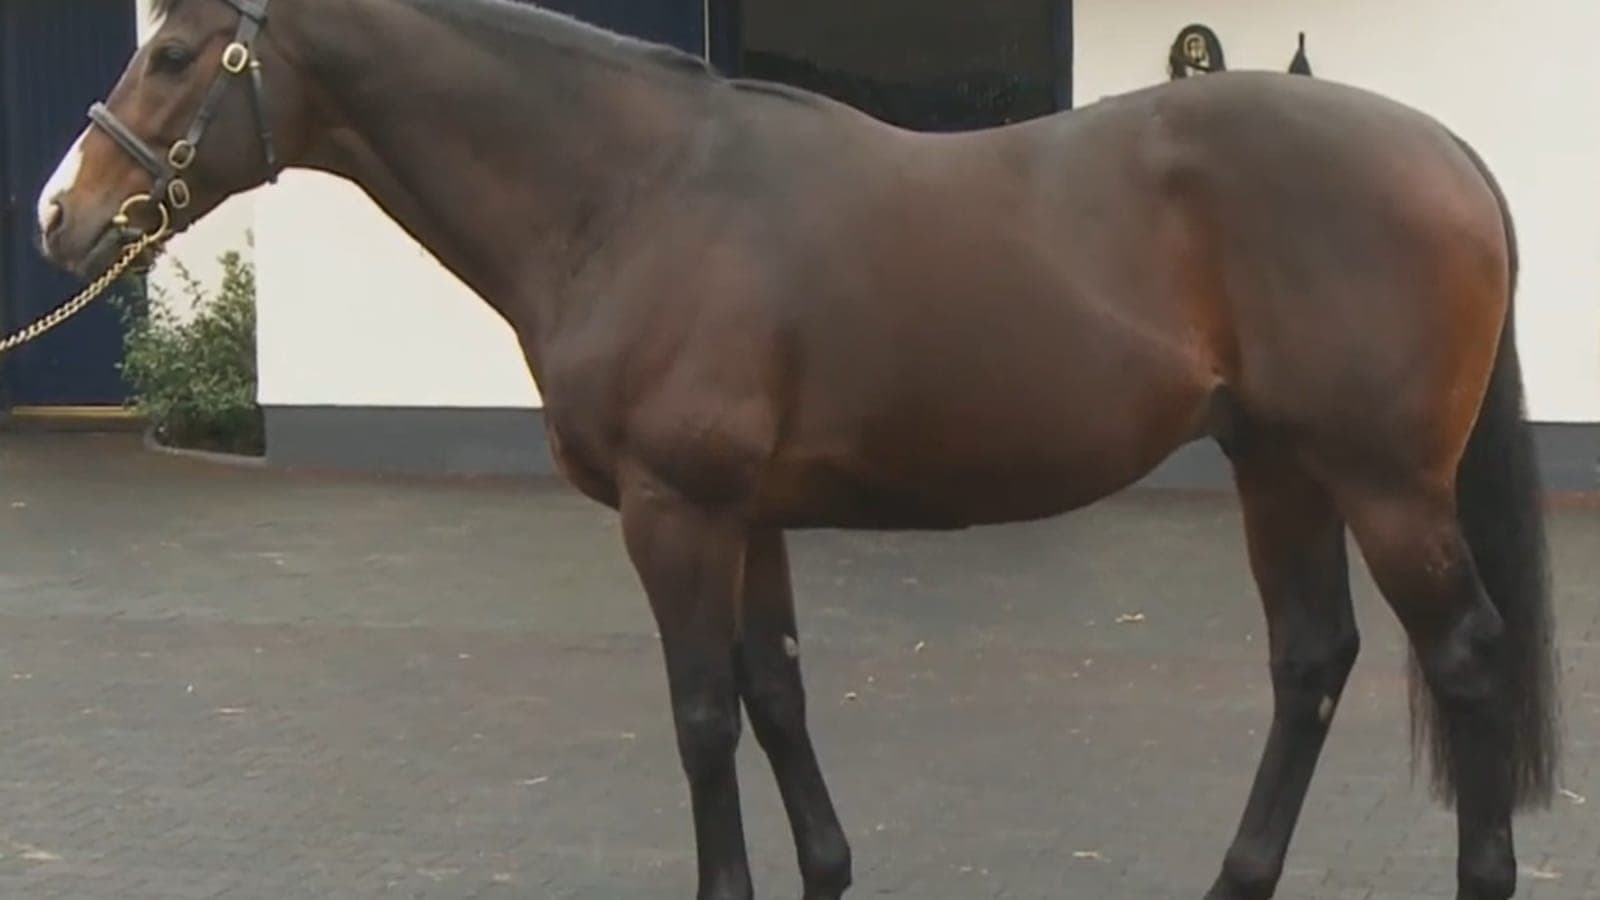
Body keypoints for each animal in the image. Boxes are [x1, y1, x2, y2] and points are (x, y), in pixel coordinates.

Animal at [35, 1, 1560, 897]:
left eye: (175, 53)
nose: (61, 212)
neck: (633, 191)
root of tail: (1448, 153)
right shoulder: (745, 516)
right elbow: (774, 694)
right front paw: (825, 868)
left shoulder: (675, 511)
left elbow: (703, 715)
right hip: (1278, 467)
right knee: (1312, 662)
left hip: (1384, 485)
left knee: (1466, 657)